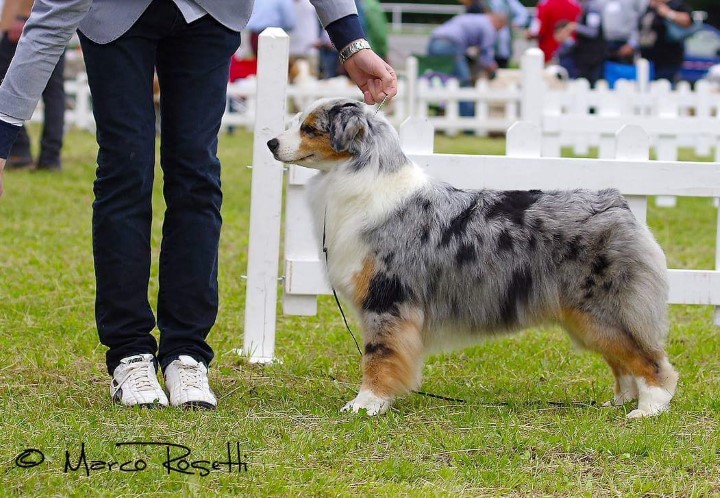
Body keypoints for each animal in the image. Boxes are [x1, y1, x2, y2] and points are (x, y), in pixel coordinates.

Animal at [268, 96, 676, 416]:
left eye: (309, 128)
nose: (271, 142)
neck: (356, 176)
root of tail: (618, 203)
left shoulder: (387, 297)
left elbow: (377, 355)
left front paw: (366, 404)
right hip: (585, 317)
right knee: (622, 360)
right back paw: (620, 401)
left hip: (605, 309)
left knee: (651, 360)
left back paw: (647, 409)